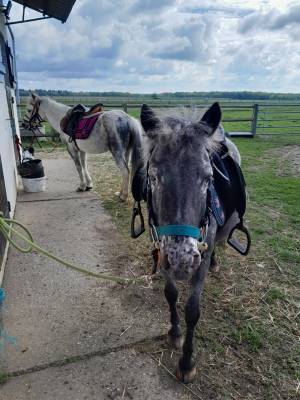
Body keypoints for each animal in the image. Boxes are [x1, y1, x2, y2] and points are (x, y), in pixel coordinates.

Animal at [139, 103, 246, 384]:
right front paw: (174, 333)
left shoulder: (199, 260)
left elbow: (192, 310)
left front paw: (187, 362)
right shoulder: (162, 254)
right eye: (153, 177)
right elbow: (171, 294)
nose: (182, 260)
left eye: (208, 179)